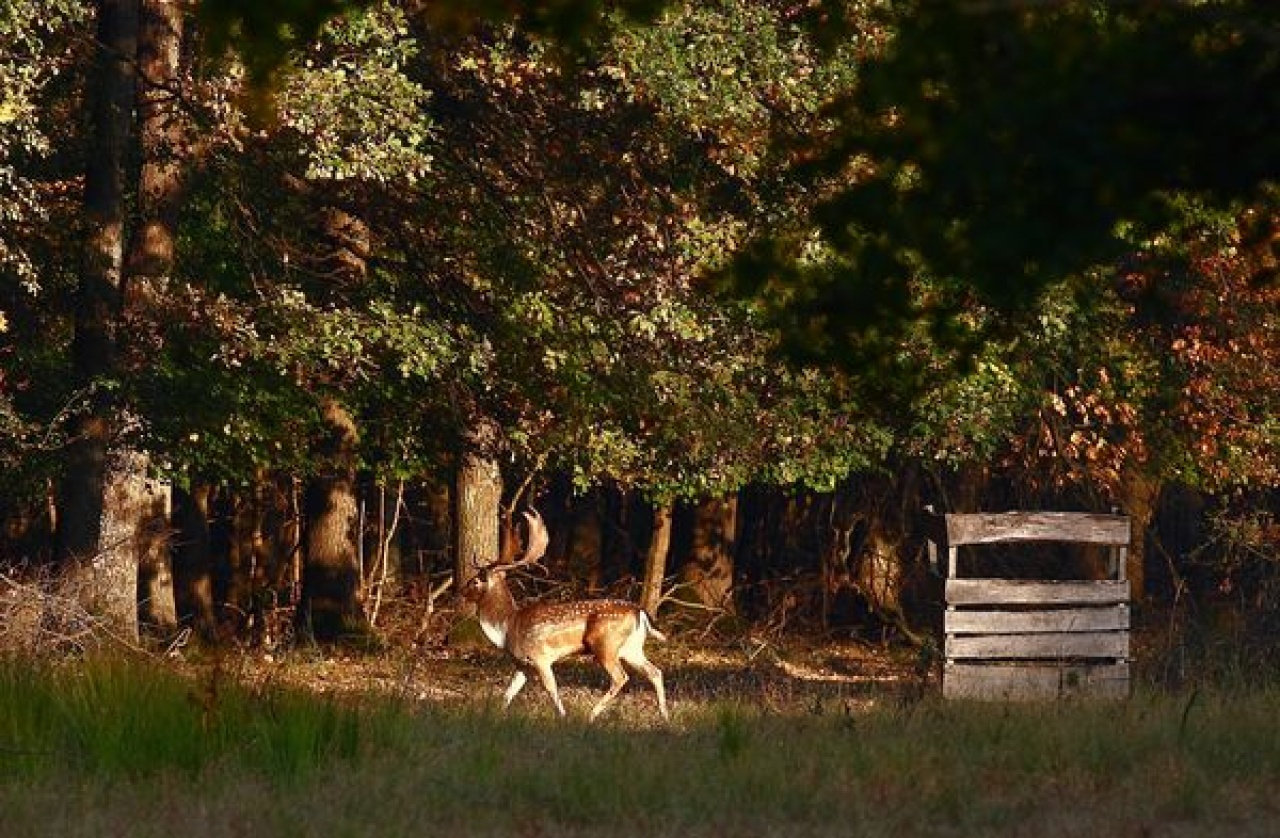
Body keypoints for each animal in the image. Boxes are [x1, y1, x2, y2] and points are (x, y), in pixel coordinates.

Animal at [463, 511, 680, 721]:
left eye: (475, 582)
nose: (461, 591)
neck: (507, 626)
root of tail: (640, 612)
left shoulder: (540, 657)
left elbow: (552, 690)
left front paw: (563, 717)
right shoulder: (523, 665)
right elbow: (508, 694)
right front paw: (493, 716)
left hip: (605, 644)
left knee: (621, 677)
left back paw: (592, 715)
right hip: (631, 648)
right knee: (655, 672)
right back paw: (665, 717)